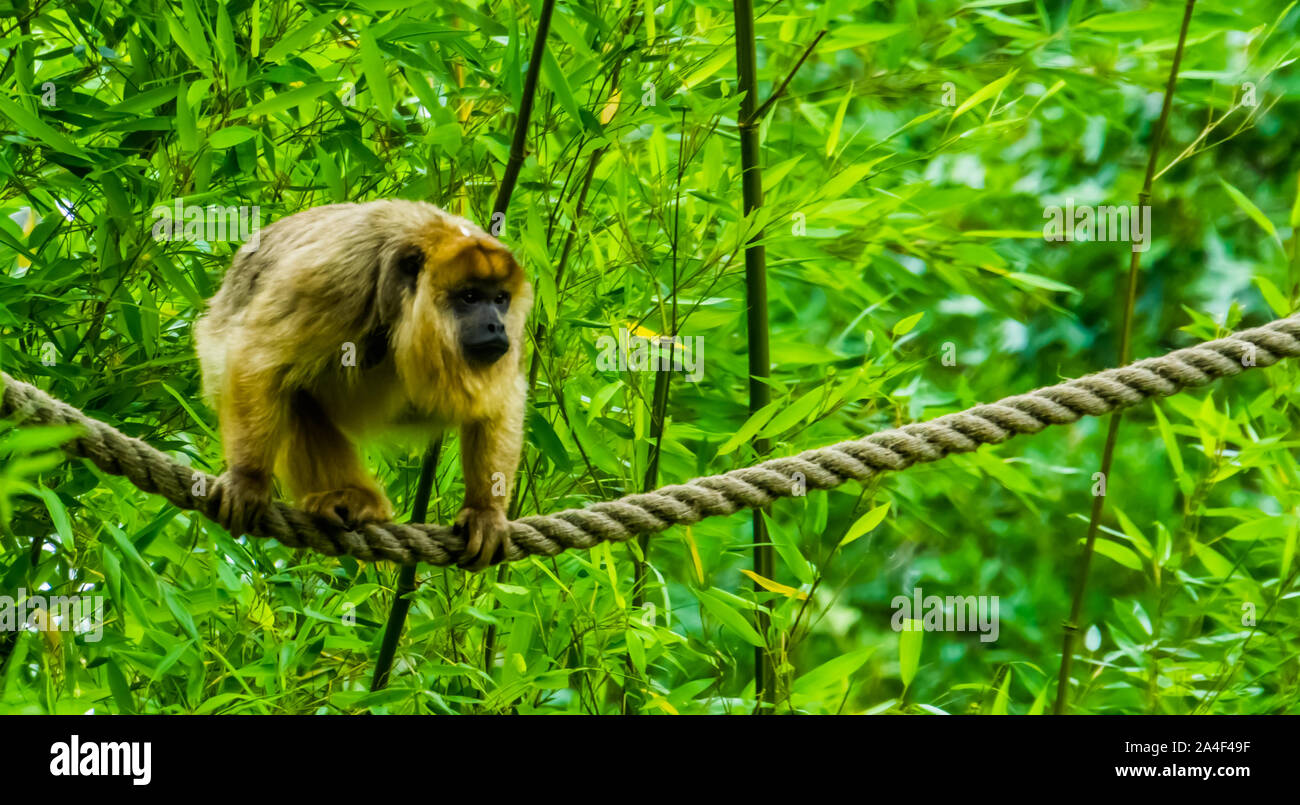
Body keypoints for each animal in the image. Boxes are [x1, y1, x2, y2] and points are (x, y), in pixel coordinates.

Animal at [195, 198, 530, 569]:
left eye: (499, 299)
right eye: (469, 297)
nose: (496, 326)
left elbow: (502, 399)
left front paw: (486, 511)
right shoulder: (333, 279)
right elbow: (258, 358)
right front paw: (247, 479)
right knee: (291, 392)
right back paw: (344, 497)